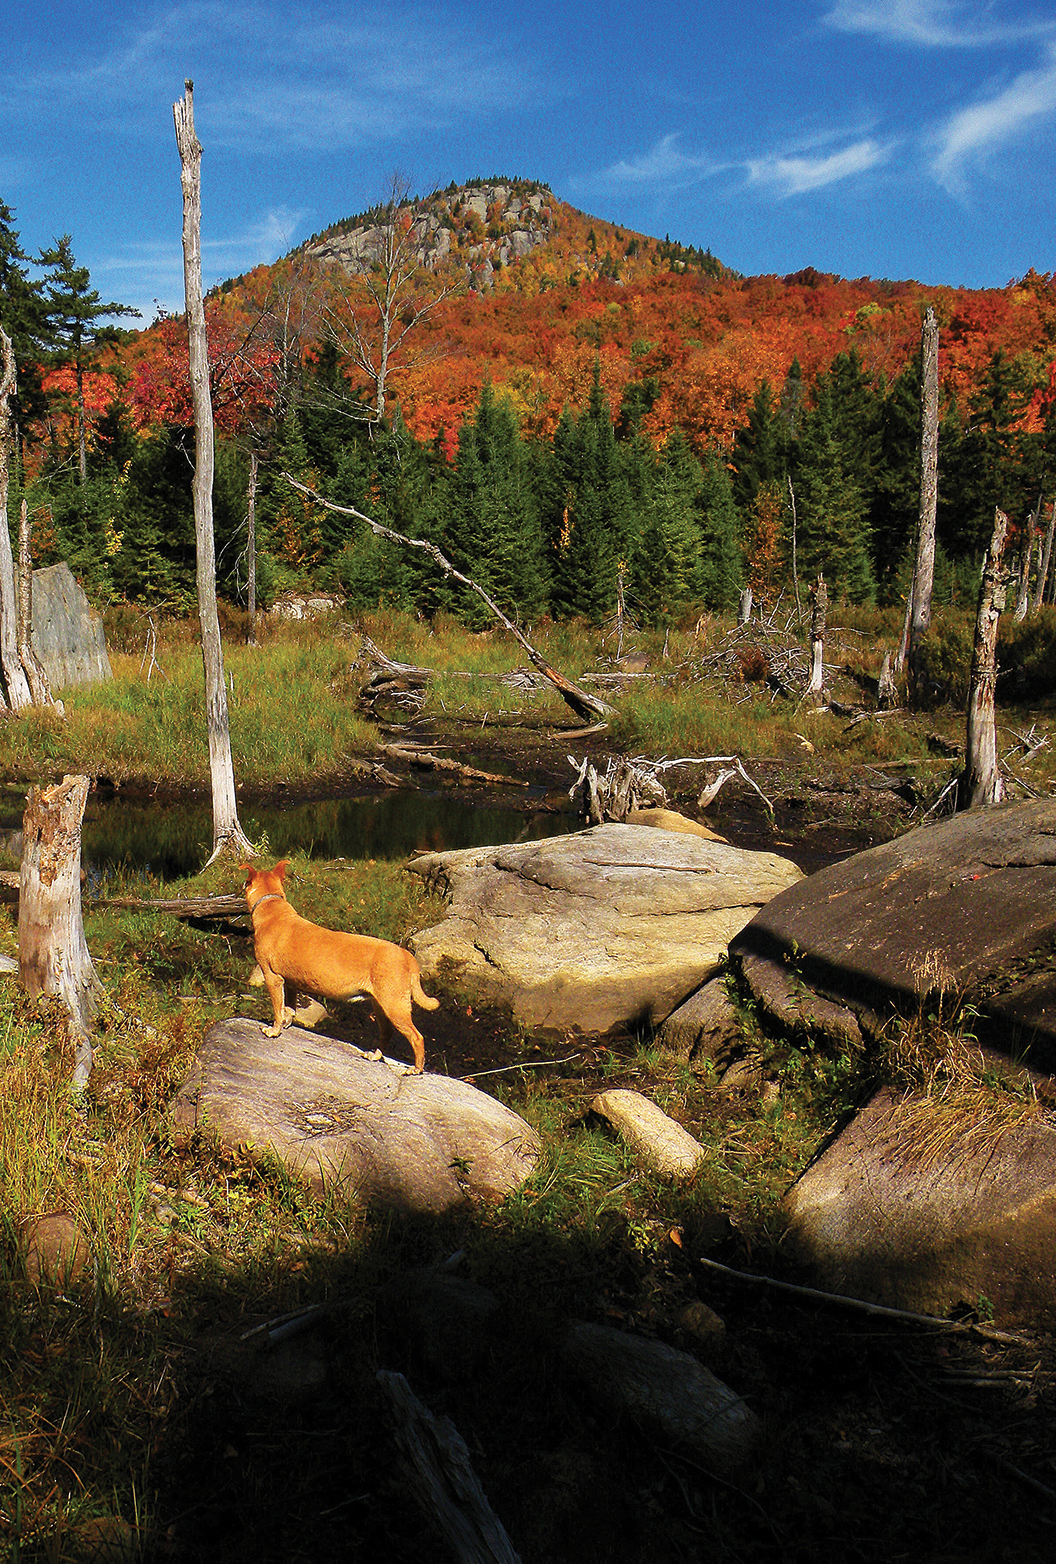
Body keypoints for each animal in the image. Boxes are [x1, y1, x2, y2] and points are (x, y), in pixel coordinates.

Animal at [240, 863, 438, 1069]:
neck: (271, 906)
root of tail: (407, 955)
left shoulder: (272, 977)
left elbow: (278, 1009)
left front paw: (274, 1030)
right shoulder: (291, 982)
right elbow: (290, 1008)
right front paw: (286, 1023)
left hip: (395, 1005)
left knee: (417, 1037)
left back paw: (416, 1069)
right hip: (380, 1005)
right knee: (387, 1033)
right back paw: (375, 1055)